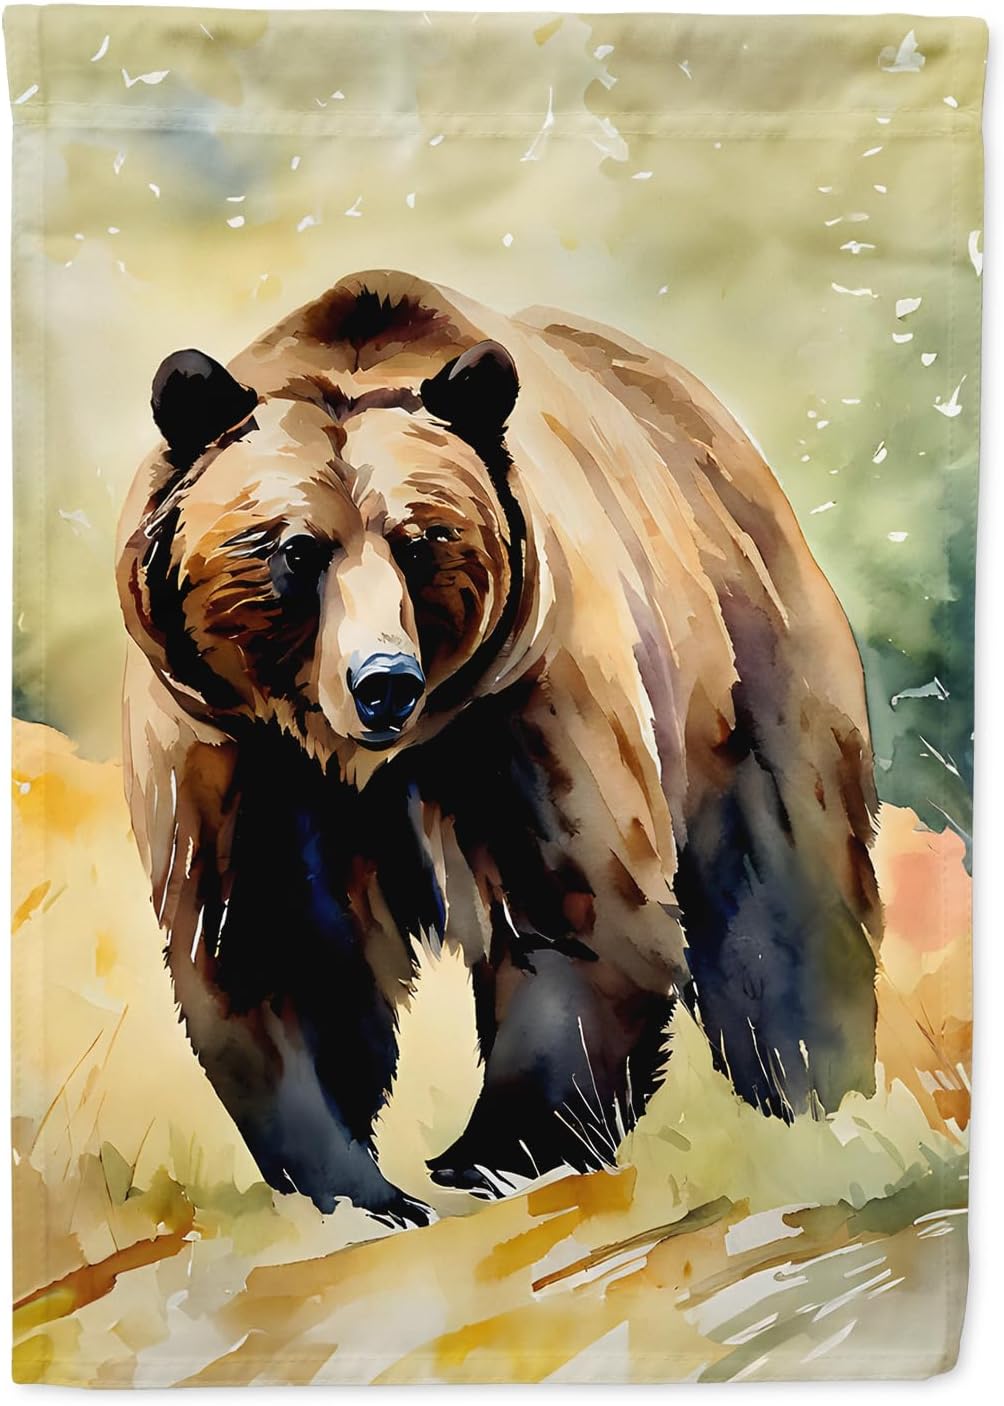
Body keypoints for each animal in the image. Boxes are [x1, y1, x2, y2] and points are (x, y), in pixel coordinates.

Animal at [117, 269, 882, 1224]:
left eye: (422, 542)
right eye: (297, 550)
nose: (384, 681)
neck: (365, 760)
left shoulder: (526, 697)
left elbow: (578, 911)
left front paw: (486, 1157)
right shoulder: (234, 749)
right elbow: (269, 945)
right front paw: (357, 1187)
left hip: (746, 670)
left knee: (786, 900)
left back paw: (820, 1098)